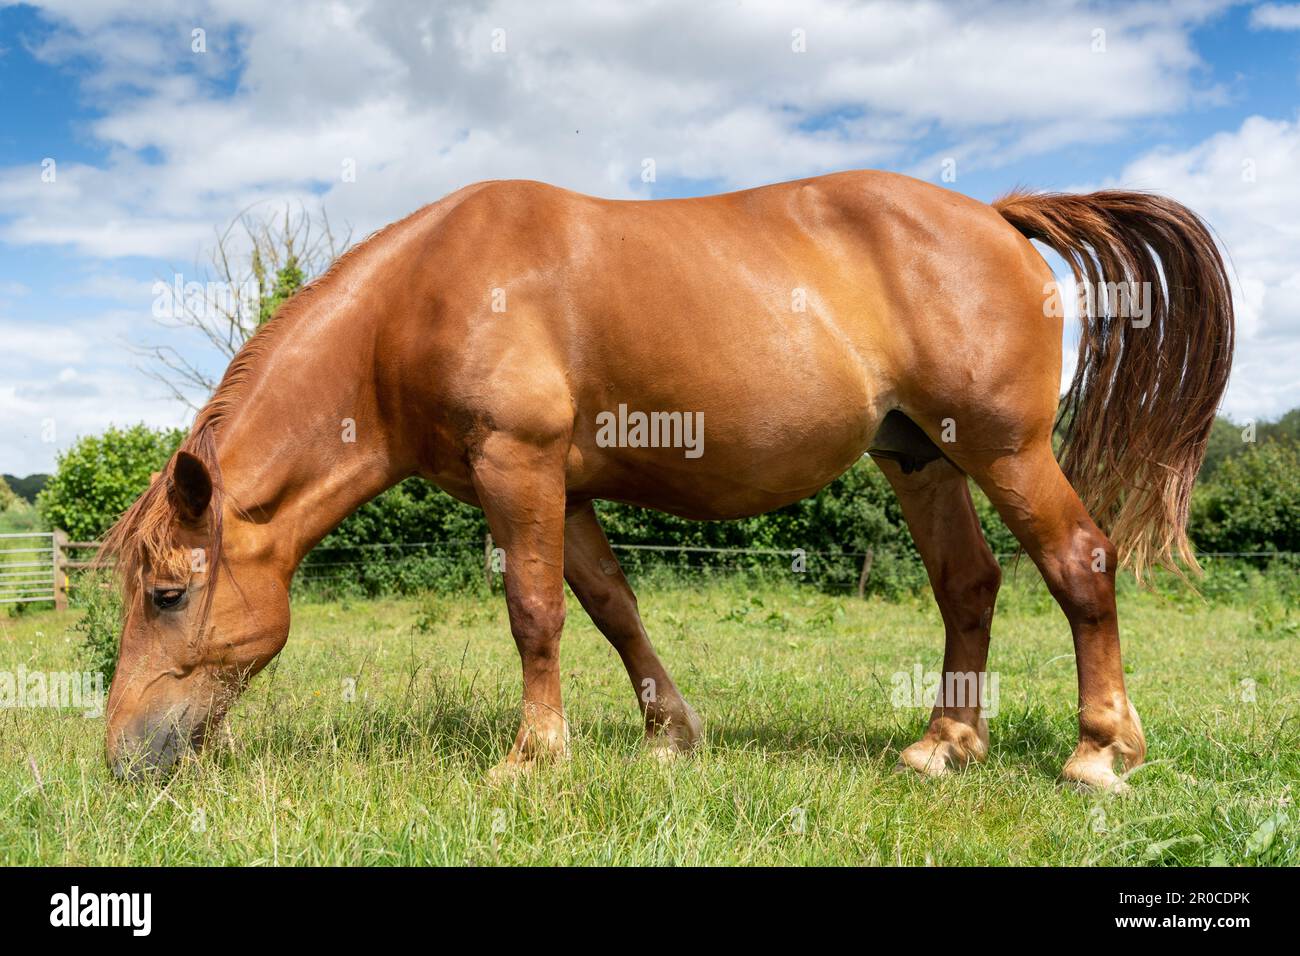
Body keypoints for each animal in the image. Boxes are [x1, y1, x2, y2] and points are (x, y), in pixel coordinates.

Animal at [100, 170, 1233, 790]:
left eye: (167, 594)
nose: (121, 757)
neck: (422, 300)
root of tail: (997, 215)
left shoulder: (518, 465)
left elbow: (535, 612)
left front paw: (532, 755)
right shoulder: (561, 488)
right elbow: (611, 605)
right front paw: (671, 735)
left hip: (1004, 450)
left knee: (1079, 563)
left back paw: (1099, 750)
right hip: (920, 458)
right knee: (969, 584)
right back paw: (944, 743)